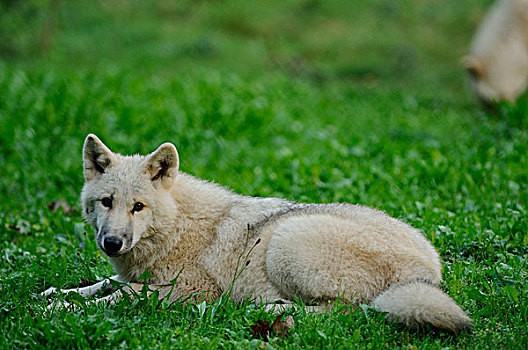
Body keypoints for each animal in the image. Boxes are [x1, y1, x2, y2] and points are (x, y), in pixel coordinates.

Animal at [43, 134, 472, 334]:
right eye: (106, 202)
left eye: (138, 207)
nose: (111, 242)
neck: (177, 226)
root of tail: (431, 274)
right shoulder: (136, 274)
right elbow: (102, 283)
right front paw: (57, 293)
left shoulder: (188, 290)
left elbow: (119, 295)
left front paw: (56, 309)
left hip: (286, 240)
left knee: (349, 312)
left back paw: (266, 310)